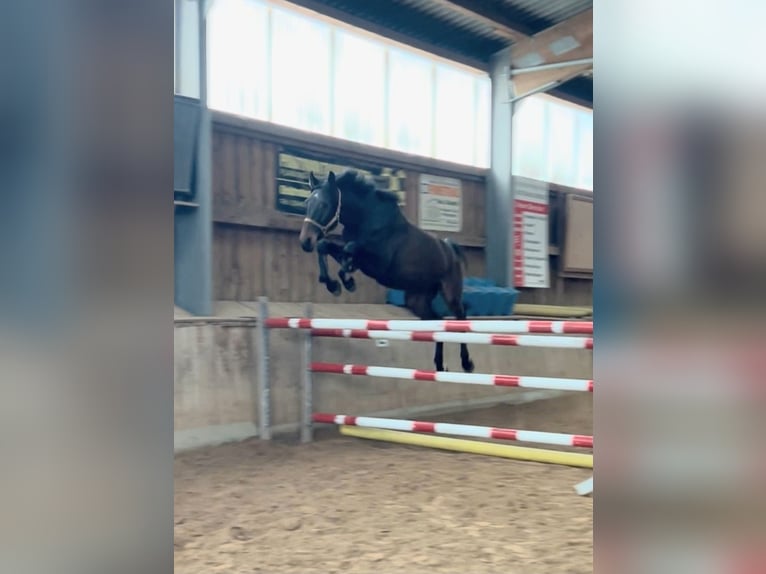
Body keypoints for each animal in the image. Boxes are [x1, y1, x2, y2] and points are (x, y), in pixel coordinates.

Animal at [298, 169, 474, 373]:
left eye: (324, 204)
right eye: (306, 203)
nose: (305, 241)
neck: (364, 218)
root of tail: (450, 249)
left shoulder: (379, 262)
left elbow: (350, 249)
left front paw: (346, 280)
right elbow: (325, 246)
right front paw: (334, 284)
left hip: (450, 293)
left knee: (460, 317)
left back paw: (466, 362)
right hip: (417, 300)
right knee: (437, 321)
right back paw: (438, 364)